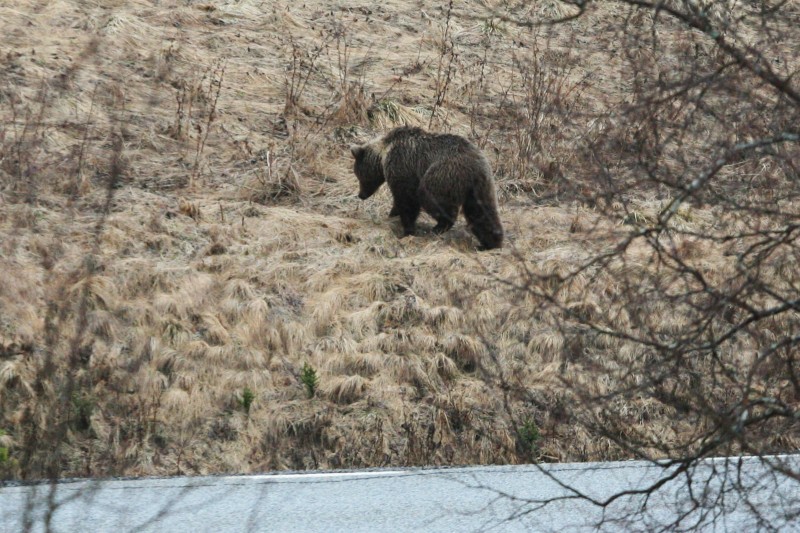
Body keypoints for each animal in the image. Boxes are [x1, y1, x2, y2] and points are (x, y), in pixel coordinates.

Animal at [348, 125, 500, 248]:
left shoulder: (403, 166)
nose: (361, 195)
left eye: (358, 175)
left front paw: (407, 230)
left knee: (430, 198)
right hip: (480, 187)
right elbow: (400, 200)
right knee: (483, 211)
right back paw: (491, 242)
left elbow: (407, 200)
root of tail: (475, 167)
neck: (384, 155)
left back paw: (438, 227)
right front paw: (392, 215)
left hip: (442, 174)